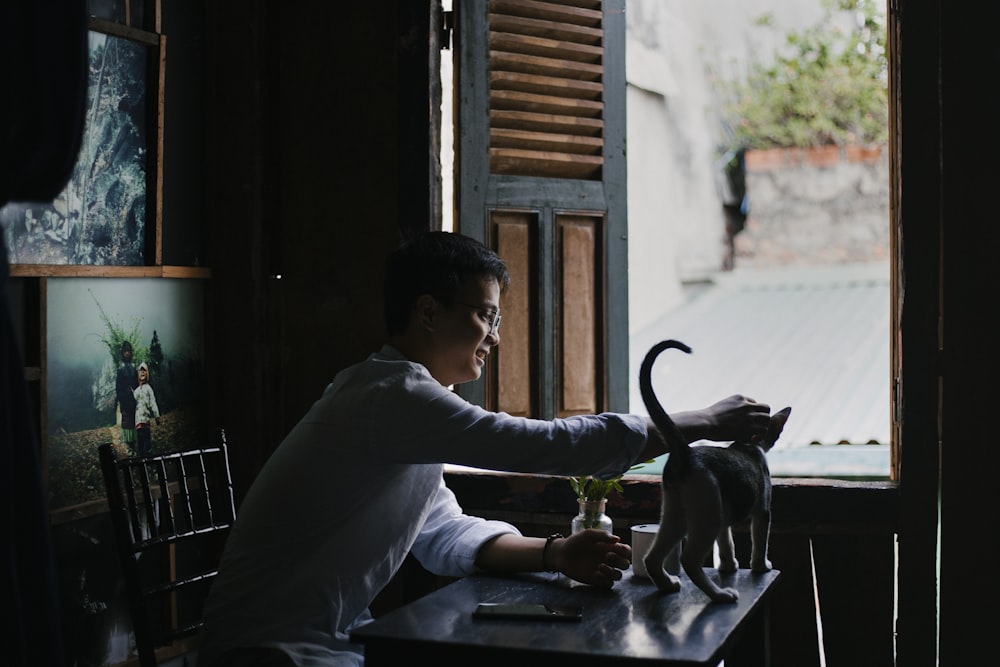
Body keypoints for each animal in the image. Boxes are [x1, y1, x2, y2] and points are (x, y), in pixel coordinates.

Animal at [636, 340, 792, 604]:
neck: (747, 445)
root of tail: (686, 453)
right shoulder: (762, 509)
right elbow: (760, 541)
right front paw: (761, 566)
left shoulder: (726, 513)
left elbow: (726, 542)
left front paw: (729, 566)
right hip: (707, 511)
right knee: (689, 559)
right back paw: (720, 594)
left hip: (677, 512)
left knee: (652, 557)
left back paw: (667, 584)